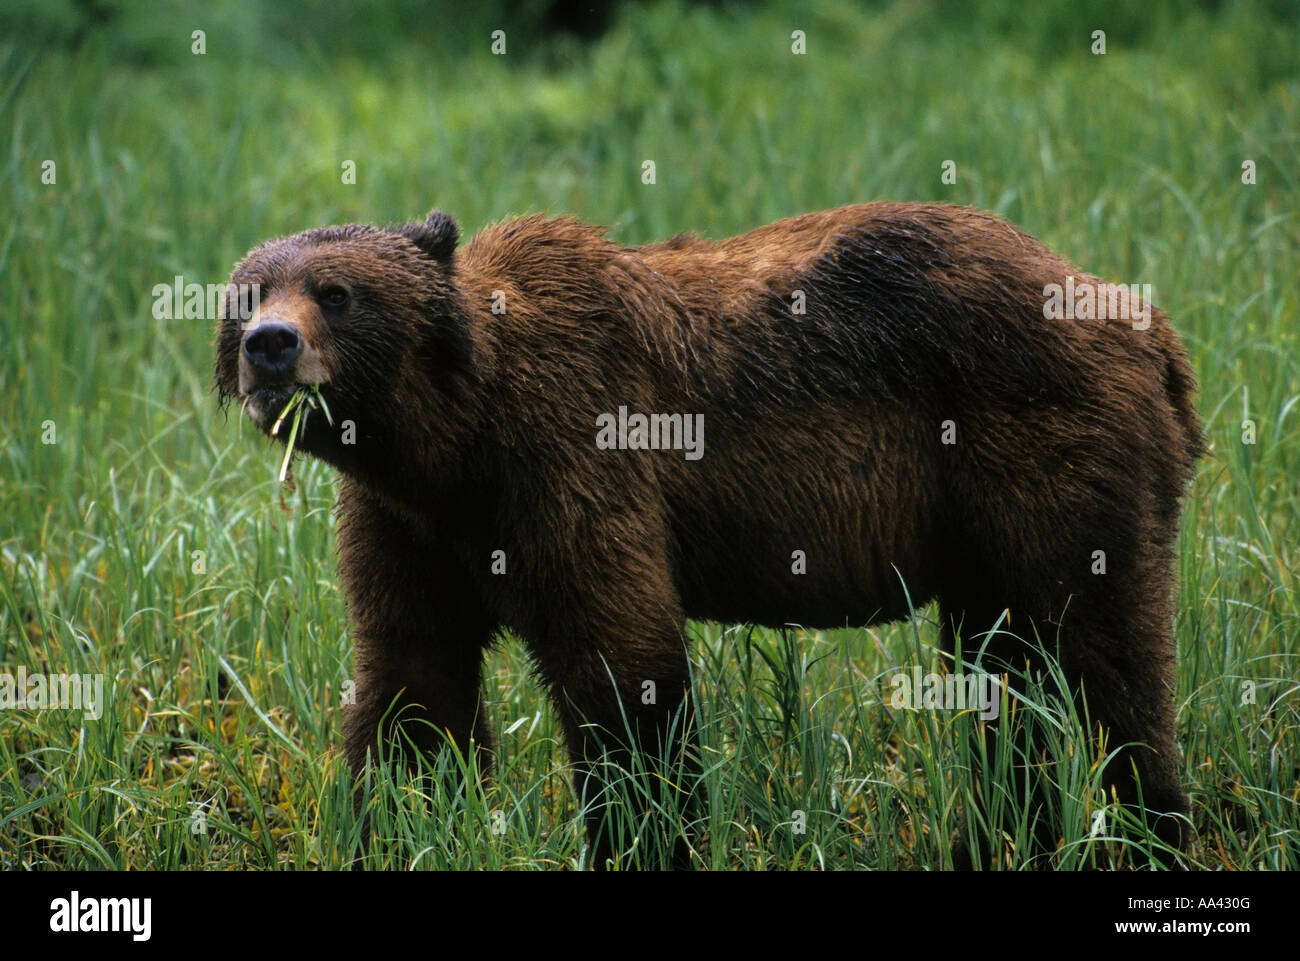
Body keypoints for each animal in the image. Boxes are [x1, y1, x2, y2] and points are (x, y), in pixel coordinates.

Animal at [214, 202, 1201, 868]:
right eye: (250, 290)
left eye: (337, 292)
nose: (269, 344)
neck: (451, 438)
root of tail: (1144, 320)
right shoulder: (410, 523)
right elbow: (411, 684)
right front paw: (393, 822)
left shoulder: (571, 457)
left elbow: (623, 669)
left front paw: (641, 835)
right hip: (978, 527)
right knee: (1001, 674)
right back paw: (1004, 833)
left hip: (1045, 447)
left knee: (1107, 655)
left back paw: (1152, 828)